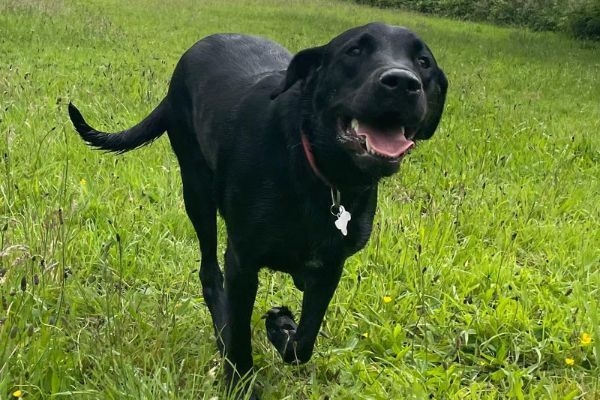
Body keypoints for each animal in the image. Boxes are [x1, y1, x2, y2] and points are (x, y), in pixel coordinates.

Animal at [69, 23, 446, 396]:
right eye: (354, 51)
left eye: (423, 62)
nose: (402, 82)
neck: (317, 171)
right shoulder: (242, 261)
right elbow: (239, 335)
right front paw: (239, 381)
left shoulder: (330, 267)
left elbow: (304, 342)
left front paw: (281, 327)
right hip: (197, 192)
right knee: (209, 275)